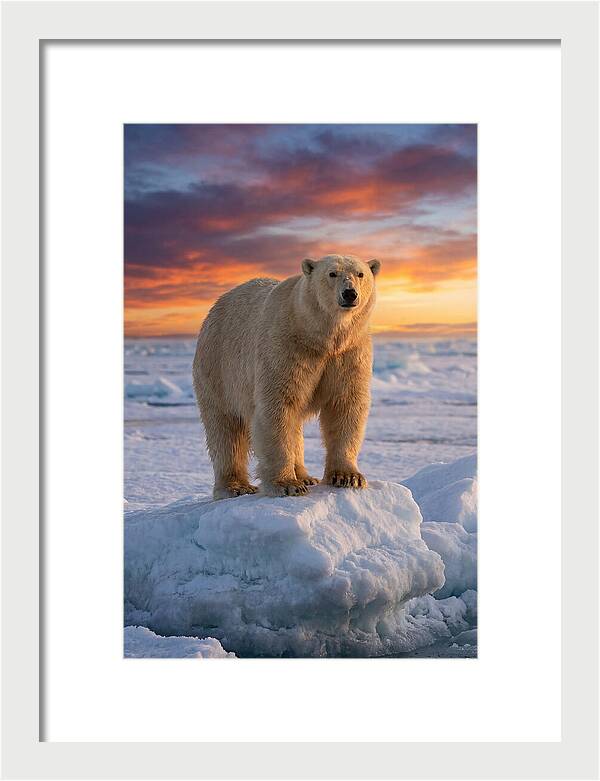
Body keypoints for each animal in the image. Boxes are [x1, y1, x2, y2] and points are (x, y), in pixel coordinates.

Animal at [192, 254, 381, 499]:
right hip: (218, 368)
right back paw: (236, 486)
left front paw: (348, 477)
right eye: (332, 273)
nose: (350, 293)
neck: (319, 336)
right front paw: (287, 484)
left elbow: (345, 405)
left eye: (360, 274)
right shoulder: (285, 347)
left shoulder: (349, 353)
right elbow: (278, 406)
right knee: (226, 429)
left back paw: (306, 476)